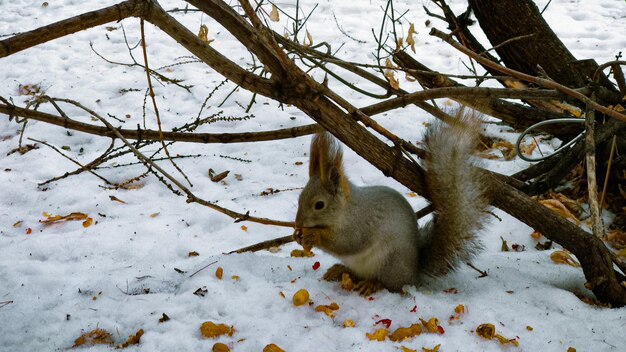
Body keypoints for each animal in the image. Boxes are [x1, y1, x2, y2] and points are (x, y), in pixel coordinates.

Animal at [292, 108, 488, 296]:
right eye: (299, 198)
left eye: (319, 205)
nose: (298, 223)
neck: (346, 210)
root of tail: (413, 274)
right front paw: (297, 236)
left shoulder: (361, 223)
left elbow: (347, 242)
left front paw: (313, 236)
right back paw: (340, 271)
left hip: (389, 261)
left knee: (392, 285)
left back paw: (372, 284)